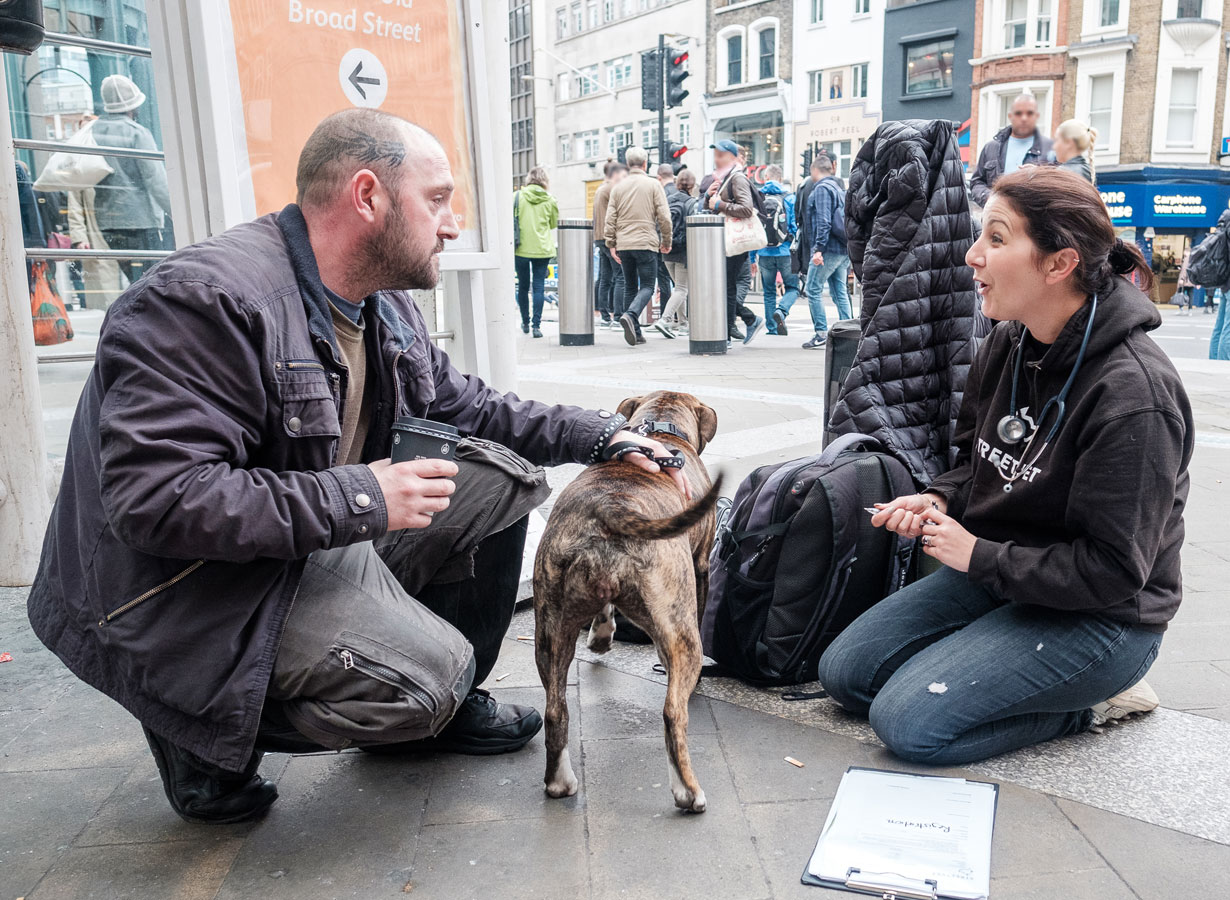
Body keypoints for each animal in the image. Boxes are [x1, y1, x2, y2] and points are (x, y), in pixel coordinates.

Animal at [531, 390, 718, 811]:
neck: (663, 425)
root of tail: (611, 507)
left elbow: (604, 612)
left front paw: (600, 638)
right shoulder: (700, 565)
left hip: (550, 625)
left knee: (555, 709)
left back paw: (559, 782)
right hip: (681, 630)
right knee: (672, 712)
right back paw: (689, 792)